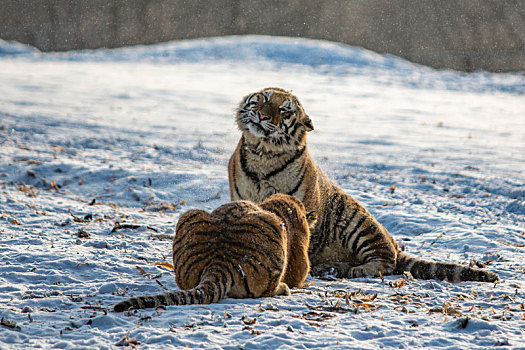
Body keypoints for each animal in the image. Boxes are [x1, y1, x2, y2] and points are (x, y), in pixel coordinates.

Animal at [228, 86, 500, 284]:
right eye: (263, 99)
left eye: (285, 111)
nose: (263, 116)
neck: (264, 154)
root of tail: (393, 242)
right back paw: (330, 268)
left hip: (358, 224)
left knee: (387, 261)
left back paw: (352, 270)